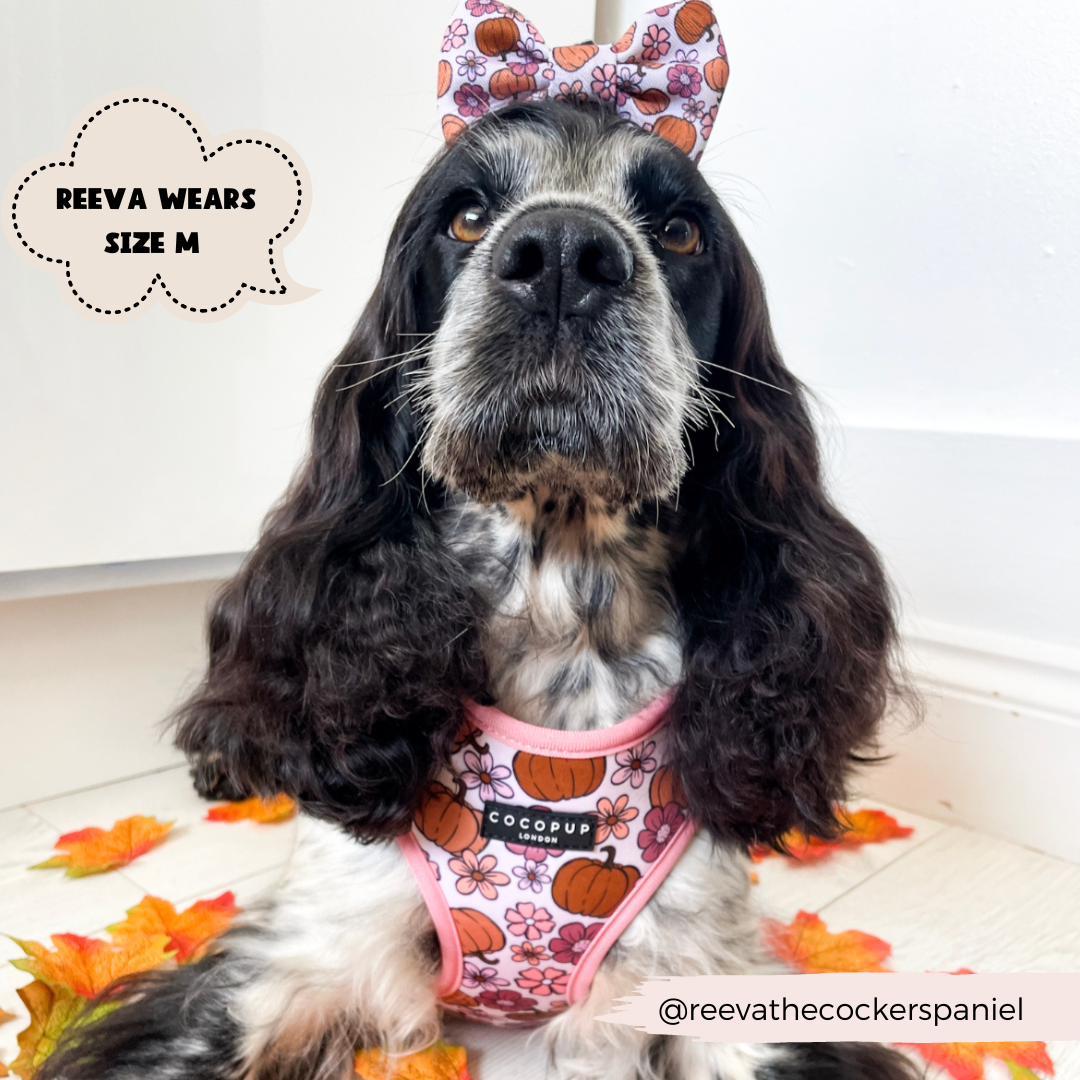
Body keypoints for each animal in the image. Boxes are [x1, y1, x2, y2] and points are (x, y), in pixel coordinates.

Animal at [39, 101, 920, 1080]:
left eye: (681, 231)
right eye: (464, 217)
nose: (566, 253)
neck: (563, 590)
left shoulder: (715, 981)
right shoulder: (299, 958)